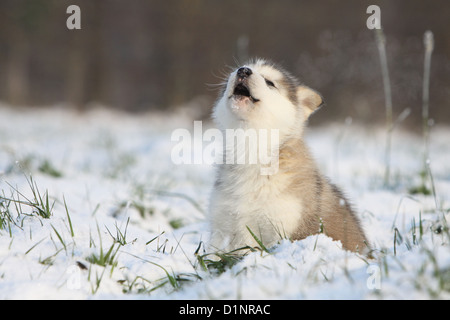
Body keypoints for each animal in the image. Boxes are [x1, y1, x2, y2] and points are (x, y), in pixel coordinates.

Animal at [209, 58, 368, 255]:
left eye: (270, 82)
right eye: (233, 74)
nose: (243, 71)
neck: (250, 149)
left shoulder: (284, 227)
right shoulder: (222, 227)